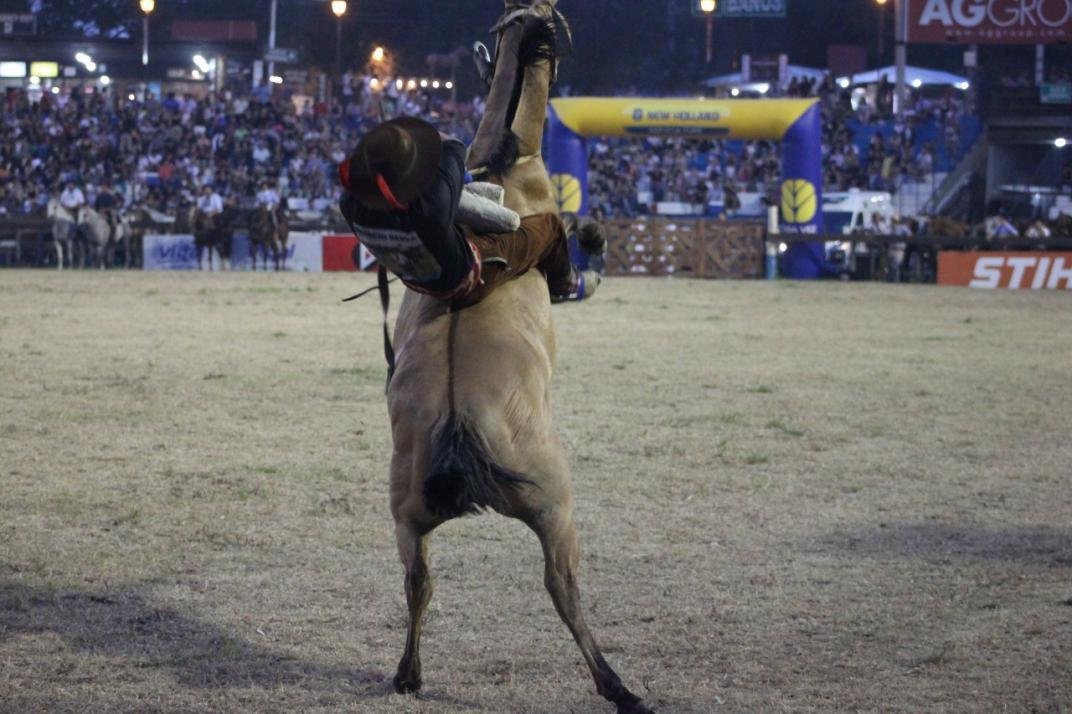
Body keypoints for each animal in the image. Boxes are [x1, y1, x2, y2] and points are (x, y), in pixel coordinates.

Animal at [383, 2, 651, 707]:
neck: (503, 162)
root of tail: (457, 429)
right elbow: (575, 259)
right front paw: (596, 238)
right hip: (554, 505)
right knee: (563, 589)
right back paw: (616, 686)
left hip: (407, 513)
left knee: (417, 582)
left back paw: (407, 673)